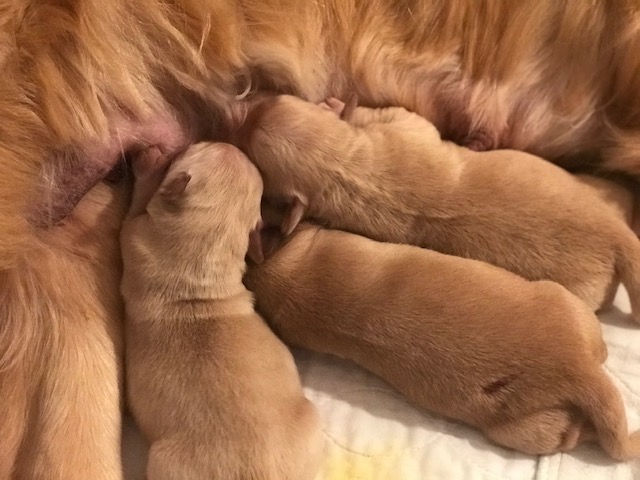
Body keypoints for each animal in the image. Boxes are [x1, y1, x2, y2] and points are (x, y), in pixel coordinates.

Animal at [120, 142, 322, 479]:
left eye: (197, 147)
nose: (229, 142)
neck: (203, 249)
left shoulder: (133, 235)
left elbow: (137, 203)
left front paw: (149, 166)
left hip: (161, 462)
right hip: (310, 419)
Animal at [237, 94, 640, 319]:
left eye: (272, 101)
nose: (238, 109)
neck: (342, 167)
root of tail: (619, 238)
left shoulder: (404, 130)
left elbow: (391, 114)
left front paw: (339, 107)